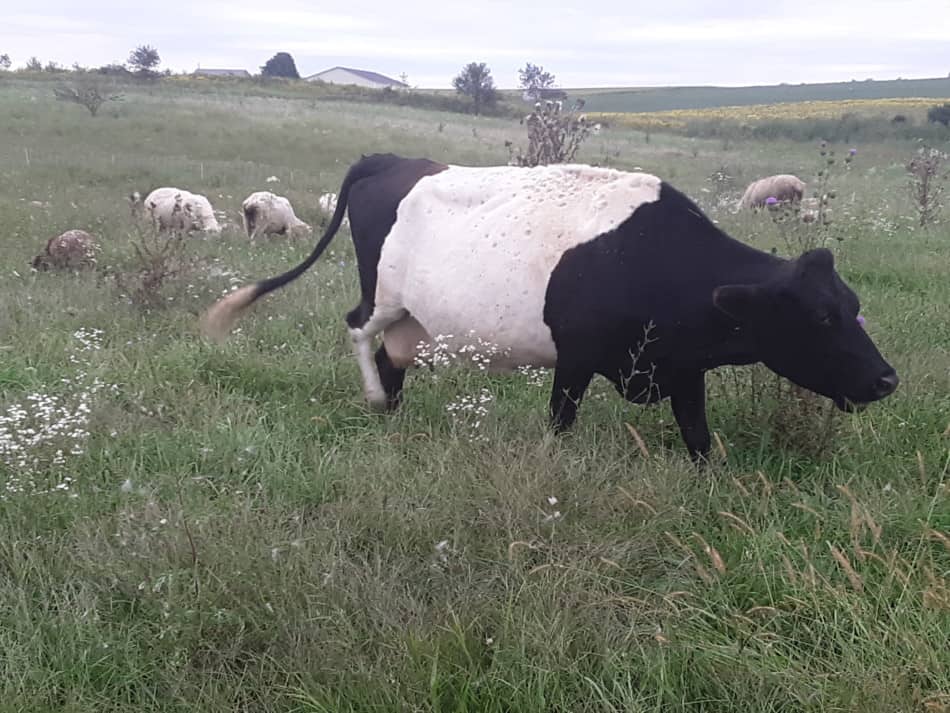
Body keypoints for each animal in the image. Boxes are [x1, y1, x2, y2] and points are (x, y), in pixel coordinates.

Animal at [203, 153, 900, 458]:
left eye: (852, 305)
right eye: (822, 316)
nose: (887, 379)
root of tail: (398, 160)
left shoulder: (681, 366)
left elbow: (699, 437)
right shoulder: (576, 356)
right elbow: (560, 424)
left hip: (416, 319)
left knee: (391, 354)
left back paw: (393, 416)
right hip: (383, 294)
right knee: (356, 330)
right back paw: (376, 401)